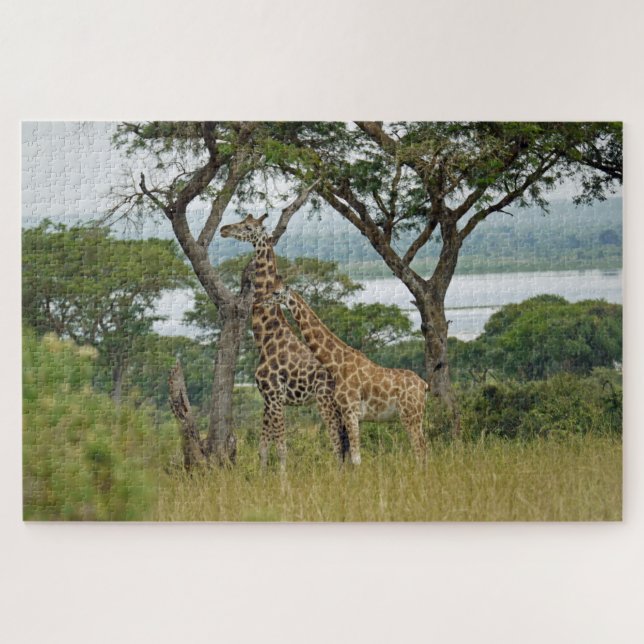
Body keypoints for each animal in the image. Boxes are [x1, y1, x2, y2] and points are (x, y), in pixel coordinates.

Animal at [219, 214, 349, 468]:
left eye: (247, 227)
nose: (224, 229)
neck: (267, 337)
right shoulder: (267, 398)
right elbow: (262, 447)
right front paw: (263, 475)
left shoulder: (275, 395)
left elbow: (281, 446)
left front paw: (282, 478)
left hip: (326, 401)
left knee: (337, 443)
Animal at [265, 282, 428, 465]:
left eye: (276, 292)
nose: (262, 301)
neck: (336, 363)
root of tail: (424, 385)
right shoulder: (351, 415)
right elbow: (350, 456)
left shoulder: (350, 411)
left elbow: (356, 458)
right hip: (415, 416)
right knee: (423, 448)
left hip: (410, 415)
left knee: (419, 449)